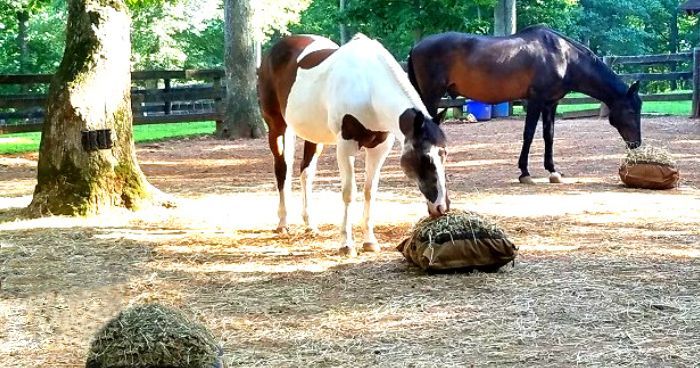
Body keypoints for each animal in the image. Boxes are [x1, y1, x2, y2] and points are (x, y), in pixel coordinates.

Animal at [258, 33, 448, 256]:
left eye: (444, 153)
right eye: (425, 157)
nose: (441, 207)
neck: (369, 88)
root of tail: (274, 51)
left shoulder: (379, 148)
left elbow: (369, 191)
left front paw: (370, 241)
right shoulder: (346, 145)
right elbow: (349, 193)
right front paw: (346, 244)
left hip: (314, 137)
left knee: (306, 173)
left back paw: (310, 224)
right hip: (278, 127)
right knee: (282, 170)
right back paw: (282, 223)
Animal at [408, 25, 644, 183]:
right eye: (631, 110)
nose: (636, 144)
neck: (562, 57)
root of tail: (417, 46)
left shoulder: (551, 103)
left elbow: (549, 135)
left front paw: (552, 170)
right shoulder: (535, 100)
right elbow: (529, 134)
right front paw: (525, 172)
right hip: (431, 96)